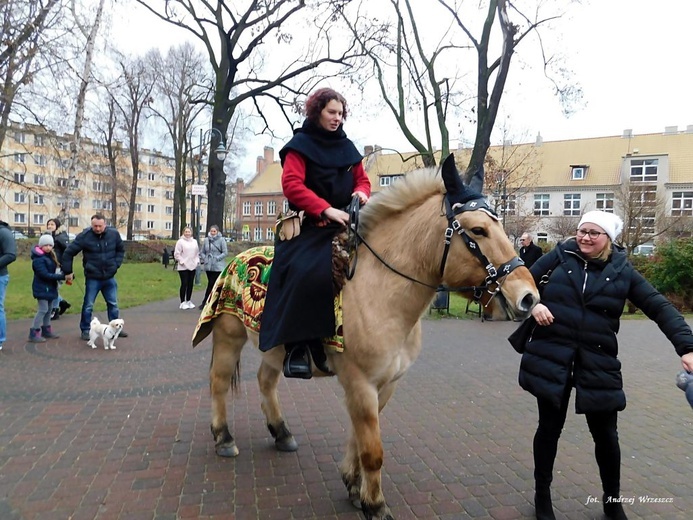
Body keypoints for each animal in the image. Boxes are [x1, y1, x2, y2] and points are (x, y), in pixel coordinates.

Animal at [192, 154, 536, 520]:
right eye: (478, 230)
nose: (529, 297)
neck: (382, 293)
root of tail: (236, 262)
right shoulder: (361, 384)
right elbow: (372, 450)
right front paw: (375, 503)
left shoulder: (385, 385)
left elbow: (359, 440)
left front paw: (354, 486)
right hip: (229, 337)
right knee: (218, 382)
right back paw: (224, 438)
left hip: (273, 348)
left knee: (265, 381)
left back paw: (281, 432)